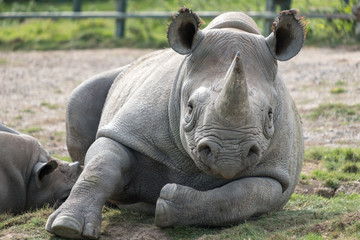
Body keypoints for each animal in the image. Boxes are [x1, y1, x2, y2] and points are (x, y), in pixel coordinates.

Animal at [45, 8, 304, 239]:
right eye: (189, 108)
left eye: (270, 114)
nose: (228, 154)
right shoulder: (126, 131)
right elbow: (100, 166)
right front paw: (67, 227)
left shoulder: (276, 173)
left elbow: (241, 197)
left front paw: (166, 203)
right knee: (80, 97)